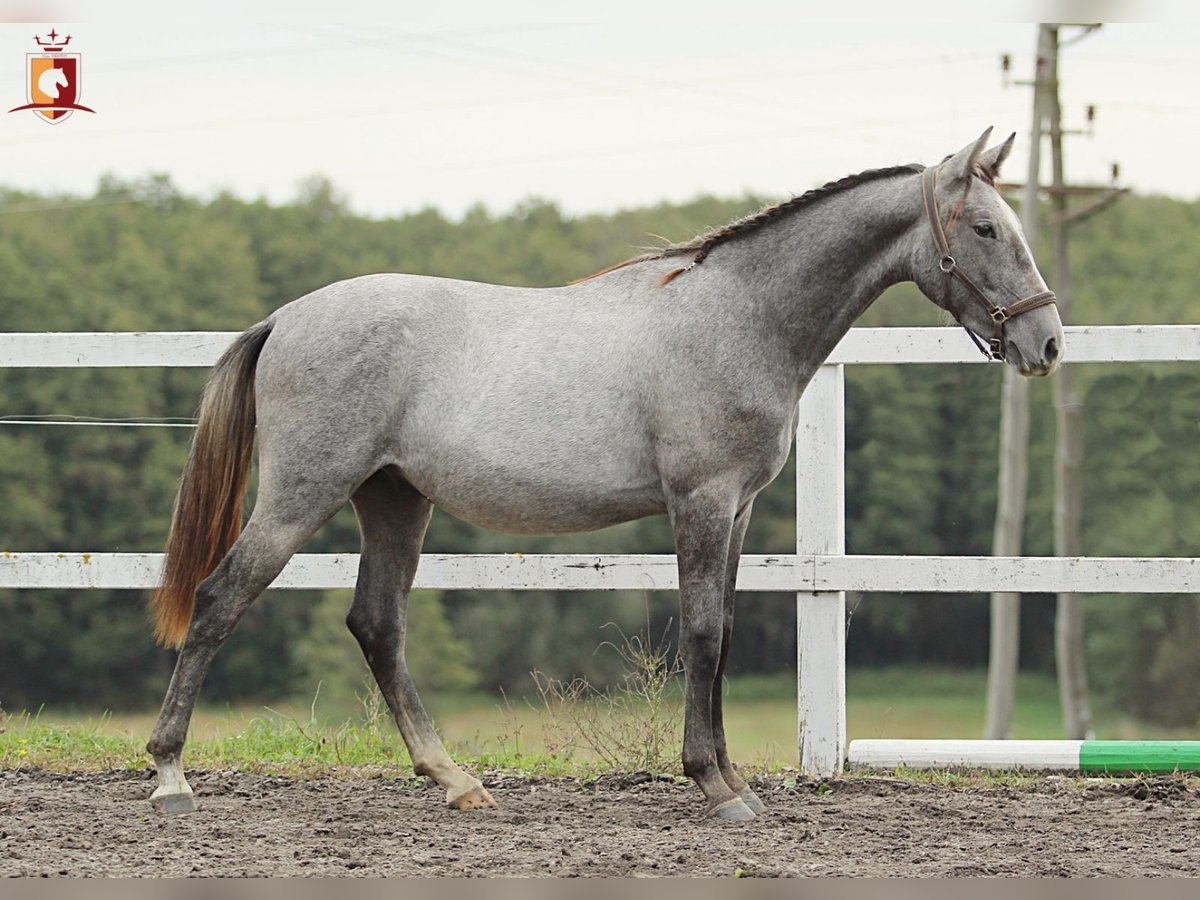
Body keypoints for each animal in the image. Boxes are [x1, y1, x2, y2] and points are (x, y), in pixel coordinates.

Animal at [147, 128, 1060, 825]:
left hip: (395, 501)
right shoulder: (701, 503)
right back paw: (169, 775)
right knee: (220, 599)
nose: (1046, 342)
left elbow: (724, 633)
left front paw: (732, 778)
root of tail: (285, 317)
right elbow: (703, 633)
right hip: (304, 494)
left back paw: (455, 781)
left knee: (377, 626)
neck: (739, 317)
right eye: (985, 229)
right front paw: (715, 787)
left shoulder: (738, 512)